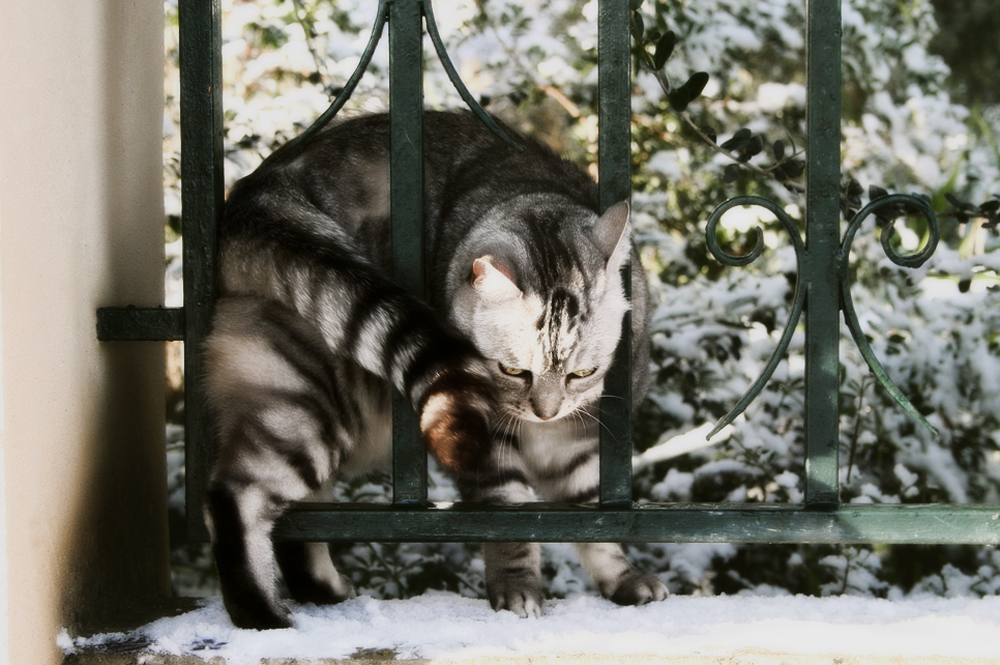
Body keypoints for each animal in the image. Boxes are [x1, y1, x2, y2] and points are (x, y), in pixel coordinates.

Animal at [200, 110, 668, 628]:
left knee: (297, 520)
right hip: (306, 407)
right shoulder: (485, 439)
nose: (545, 412)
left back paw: (324, 593)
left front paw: (622, 578)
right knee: (233, 498)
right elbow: (511, 517)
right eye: (512, 371)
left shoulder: (577, 440)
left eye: (582, 374)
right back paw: (263, 614)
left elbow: (596, 521)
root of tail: (258, 191)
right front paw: (517, 589)